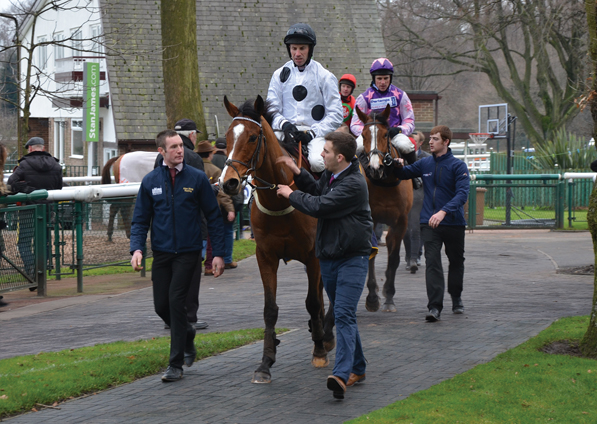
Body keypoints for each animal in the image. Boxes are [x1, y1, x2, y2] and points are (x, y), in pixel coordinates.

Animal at [221, 95, 336, 384]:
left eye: (252, 137)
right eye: (227, 136)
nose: (228, 183)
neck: (280, 198)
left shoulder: (313, 254)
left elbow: (312, 301)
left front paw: (319, 351)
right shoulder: (265, 256)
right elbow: (270, 309)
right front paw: (265, 363)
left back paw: (326, 335)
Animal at [356, 105, 412, 314]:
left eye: (386, 133)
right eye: (363, 134)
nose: (375, 167)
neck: (385, 182)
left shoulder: (401, 221)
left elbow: (394, 258)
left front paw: (389, 297)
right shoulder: (369, 220)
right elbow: (370, 256)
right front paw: (372, 298)